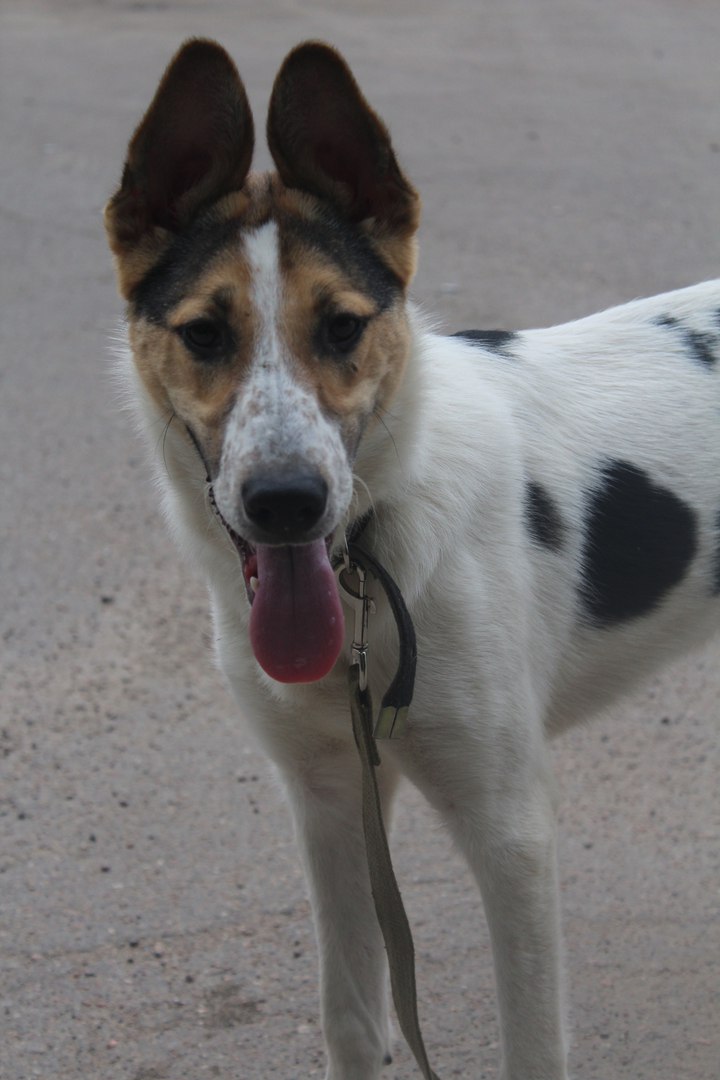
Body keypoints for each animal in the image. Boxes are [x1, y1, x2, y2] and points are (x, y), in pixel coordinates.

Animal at [105, 38, 720, 1075]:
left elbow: (532, 1047)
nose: (286, 503)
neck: (372, 562)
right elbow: (355, 1017)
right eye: (203, 334)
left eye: (344, 327)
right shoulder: (329, 799)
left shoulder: (510, 830)